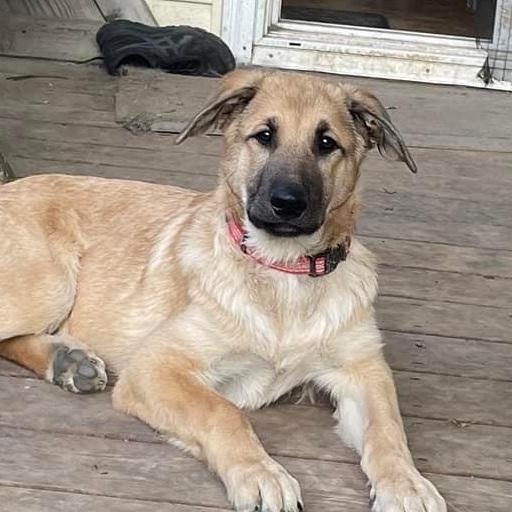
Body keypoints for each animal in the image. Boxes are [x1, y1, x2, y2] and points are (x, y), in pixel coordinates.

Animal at [0, 69, 446, 512]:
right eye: (264, 135)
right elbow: (224, 412)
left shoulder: (364, 369)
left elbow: (388, 429)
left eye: (326, 143)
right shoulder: (156, 367)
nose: (288, 204)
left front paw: (407, 484)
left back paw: (67, 360)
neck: (283, 271)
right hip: (49, 285)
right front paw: (261, 474)